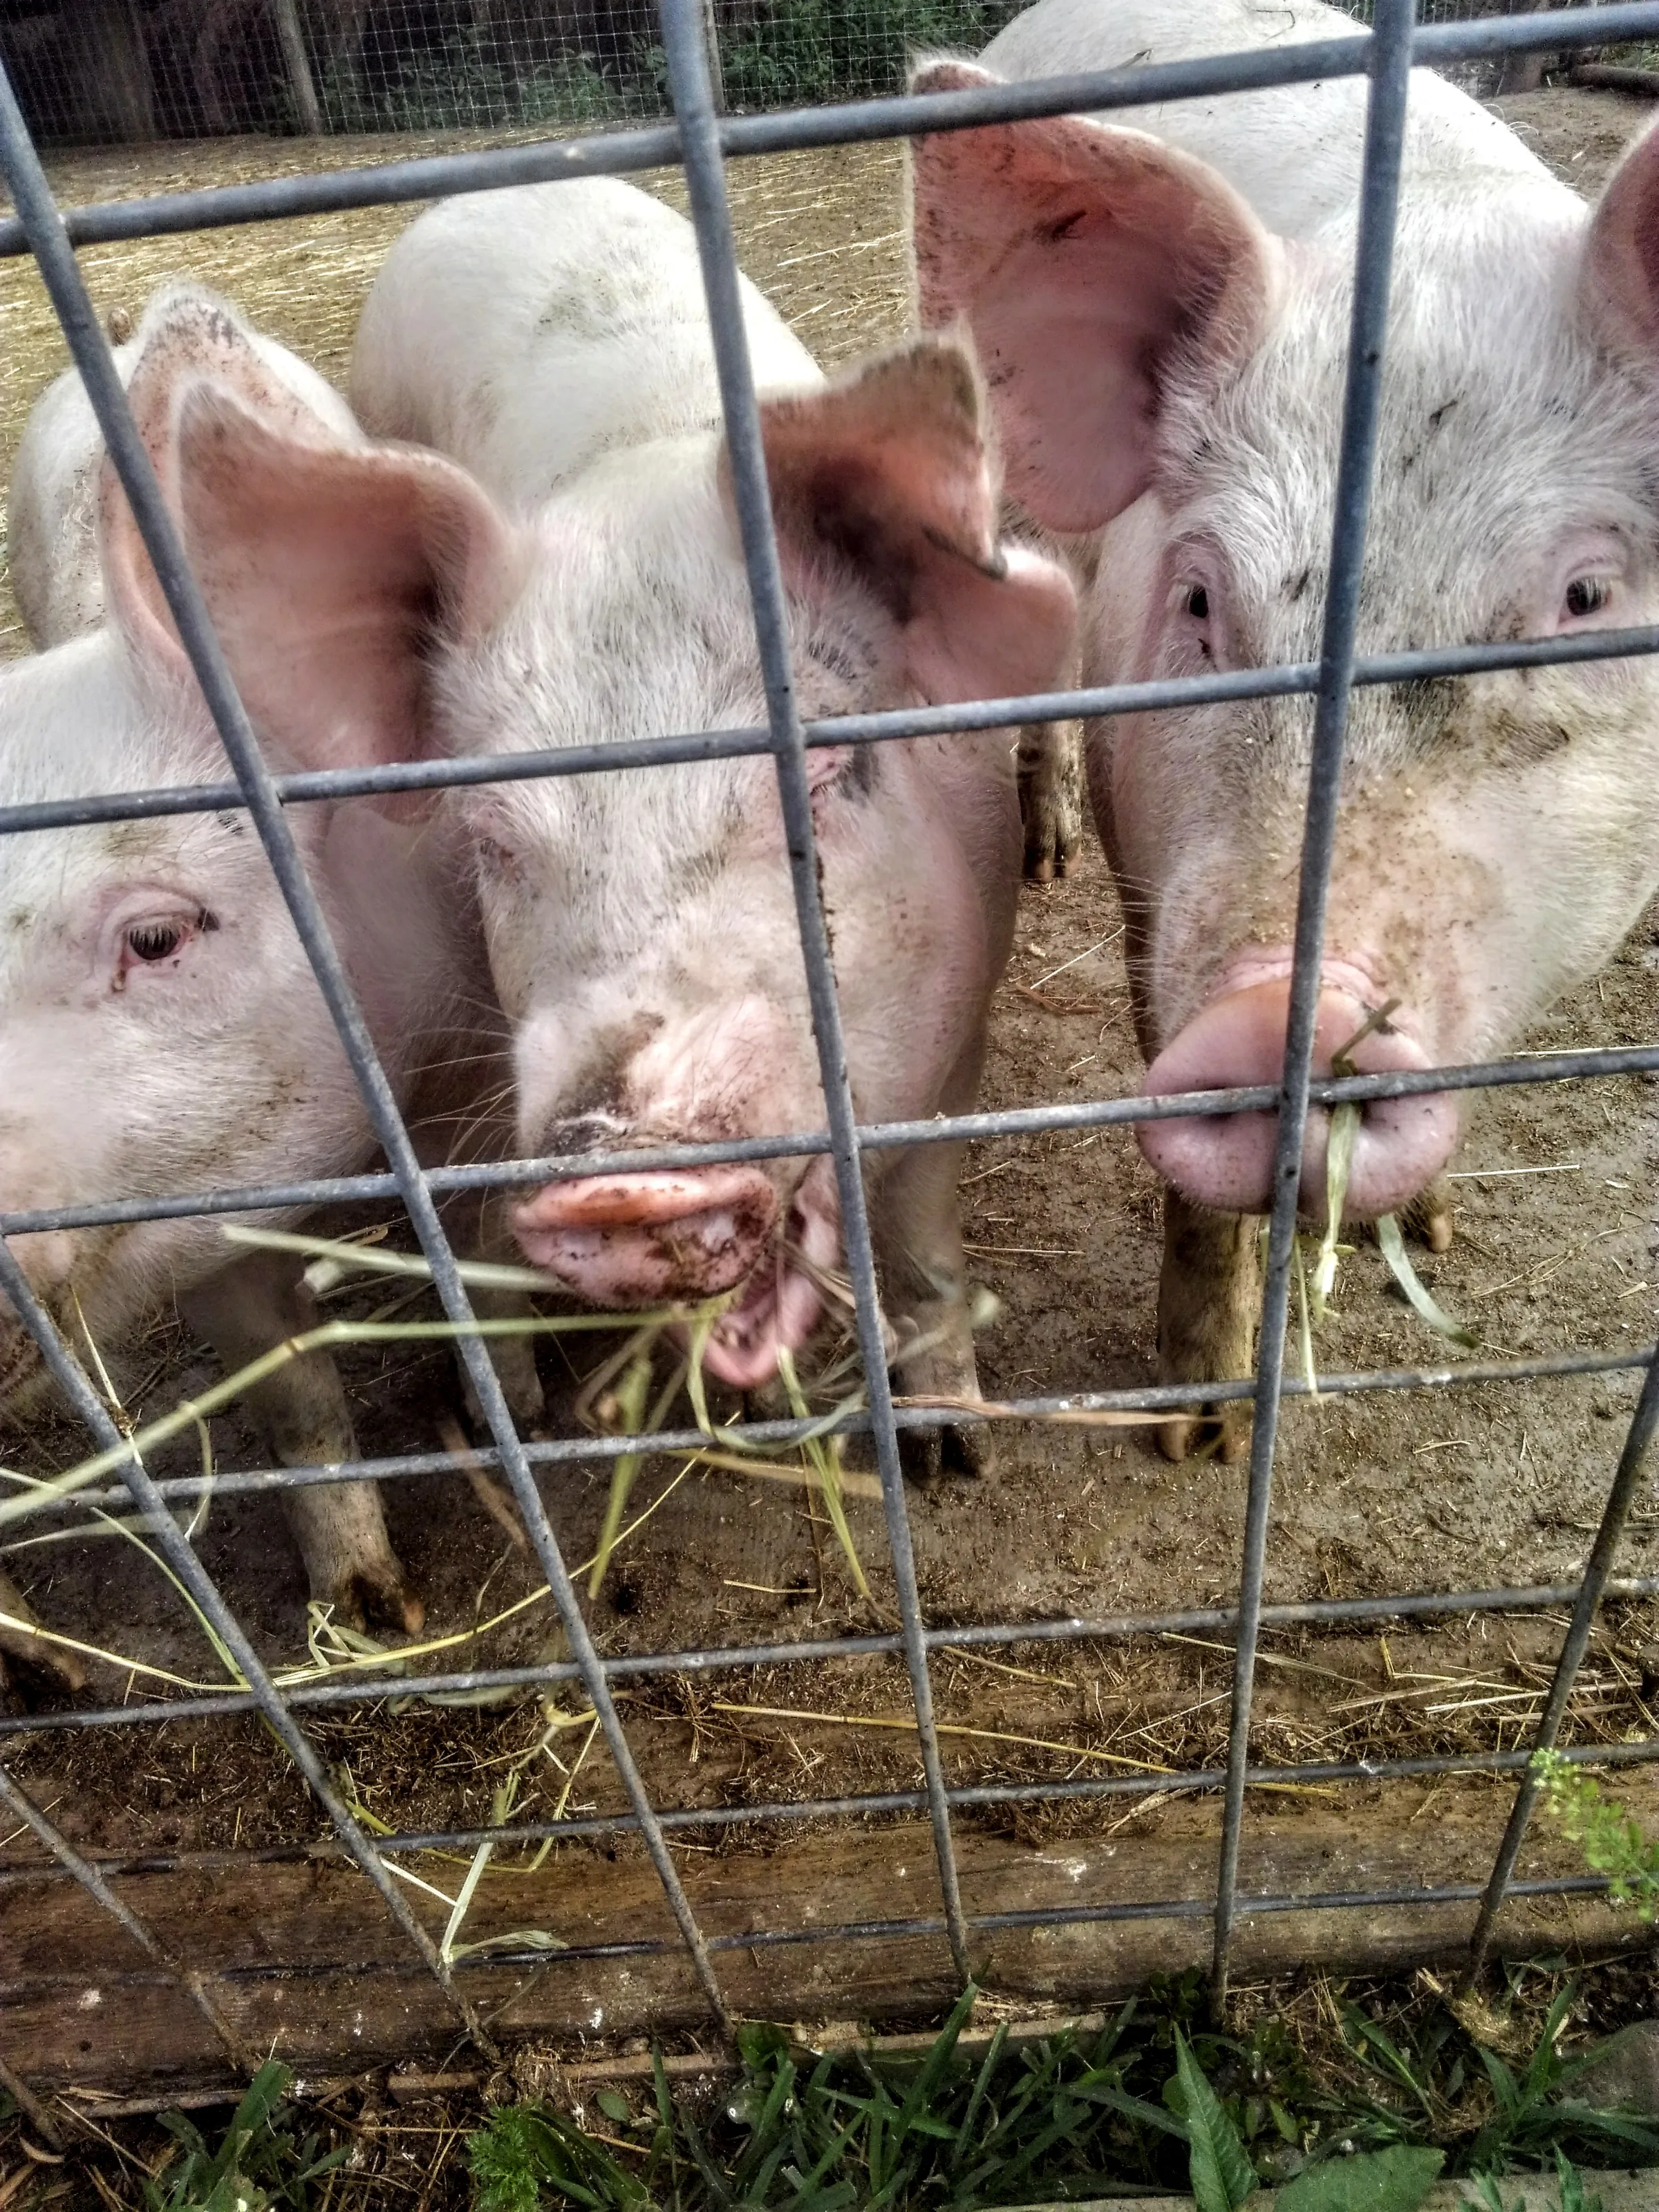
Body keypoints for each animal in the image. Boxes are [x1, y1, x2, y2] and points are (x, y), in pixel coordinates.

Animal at [333, 177, 1075, 1473]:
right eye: (493, 838)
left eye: (816, 780)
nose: (624, 1172)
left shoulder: (966, 1017)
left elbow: (922, 1235)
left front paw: (945, 1451)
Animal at [907, 0, 1659, 1457]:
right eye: (1204, 596)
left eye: (1587, 599)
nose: (1285, 1017)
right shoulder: (1159, 893)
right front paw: (1195, 1432)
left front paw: (1430, 1232)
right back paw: (1042, 855)